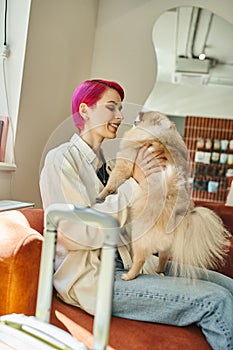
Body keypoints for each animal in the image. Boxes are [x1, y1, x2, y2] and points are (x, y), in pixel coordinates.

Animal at [97, 110, 230, 280]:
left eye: (147, 116)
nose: (140, 111)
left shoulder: (125, 163)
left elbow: (112, 181)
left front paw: (102, 194)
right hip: (165, 247)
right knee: (163, 258)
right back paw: (159, 272)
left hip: (139, 235)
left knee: (140, 258)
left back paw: (129, 275)